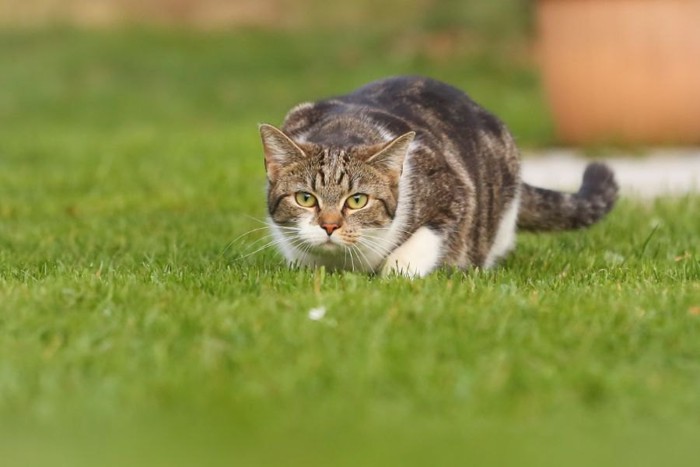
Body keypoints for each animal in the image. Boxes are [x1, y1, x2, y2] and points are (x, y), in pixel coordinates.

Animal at [258, 75, 616, 276]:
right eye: (306, 198)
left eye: (357, 200)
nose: (330, 226)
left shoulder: (454, 193)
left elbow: (418, 247)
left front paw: (397, 271)